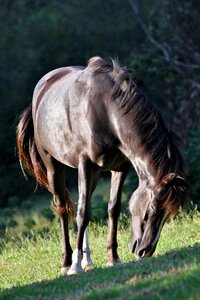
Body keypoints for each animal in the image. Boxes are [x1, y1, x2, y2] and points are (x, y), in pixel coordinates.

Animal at [16, 56, 188, 274]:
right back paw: (67, 261)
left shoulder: (120, 168)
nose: (144, 251)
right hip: (53, 166)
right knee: (63, 208)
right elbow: (82, 213)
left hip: (95, 174)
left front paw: (112, 257)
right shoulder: (86, 164)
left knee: (84, 201)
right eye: (151, 210)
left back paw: (87, 259)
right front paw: (75, 266)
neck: (106, 111)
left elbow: (112, 208)